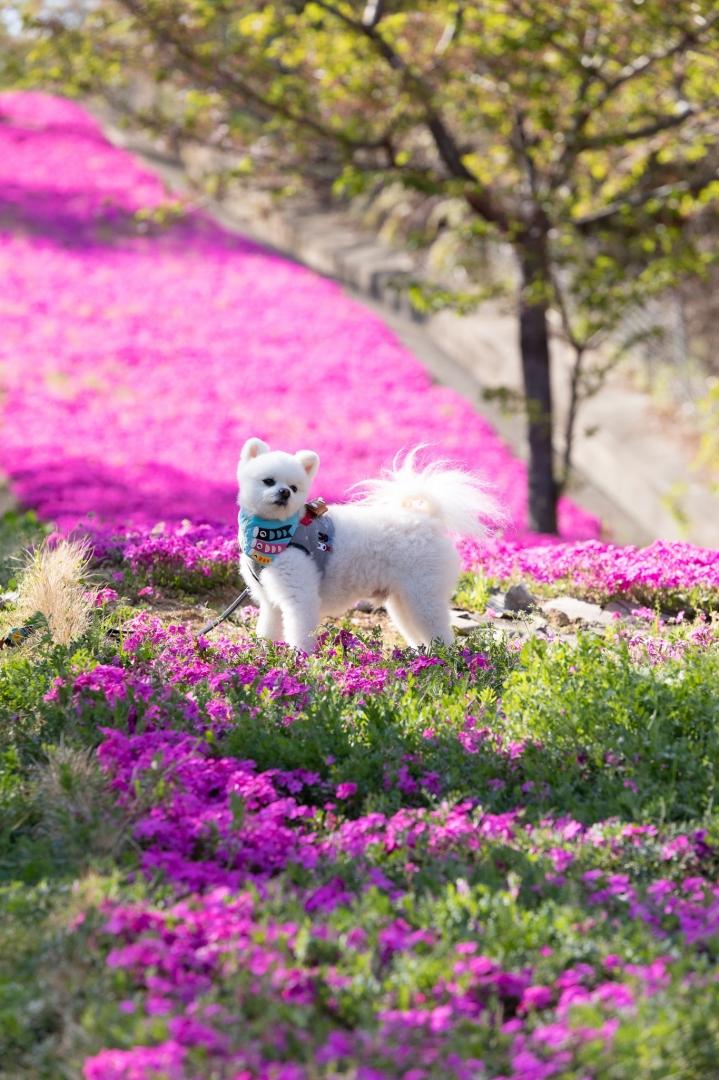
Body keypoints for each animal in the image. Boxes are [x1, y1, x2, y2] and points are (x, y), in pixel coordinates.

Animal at [237, 436, 496, 652]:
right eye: (268, 481)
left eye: (294, 487)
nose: (284, 492)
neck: (274, 535)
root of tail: (428, 519)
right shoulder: (270, 601)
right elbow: (268, 630)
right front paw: (265, 654)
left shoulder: (300, 596)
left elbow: (300, 632)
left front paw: (299, 658)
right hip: (403, 601)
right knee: (419, 634)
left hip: (424, 594)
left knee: (440, 632)